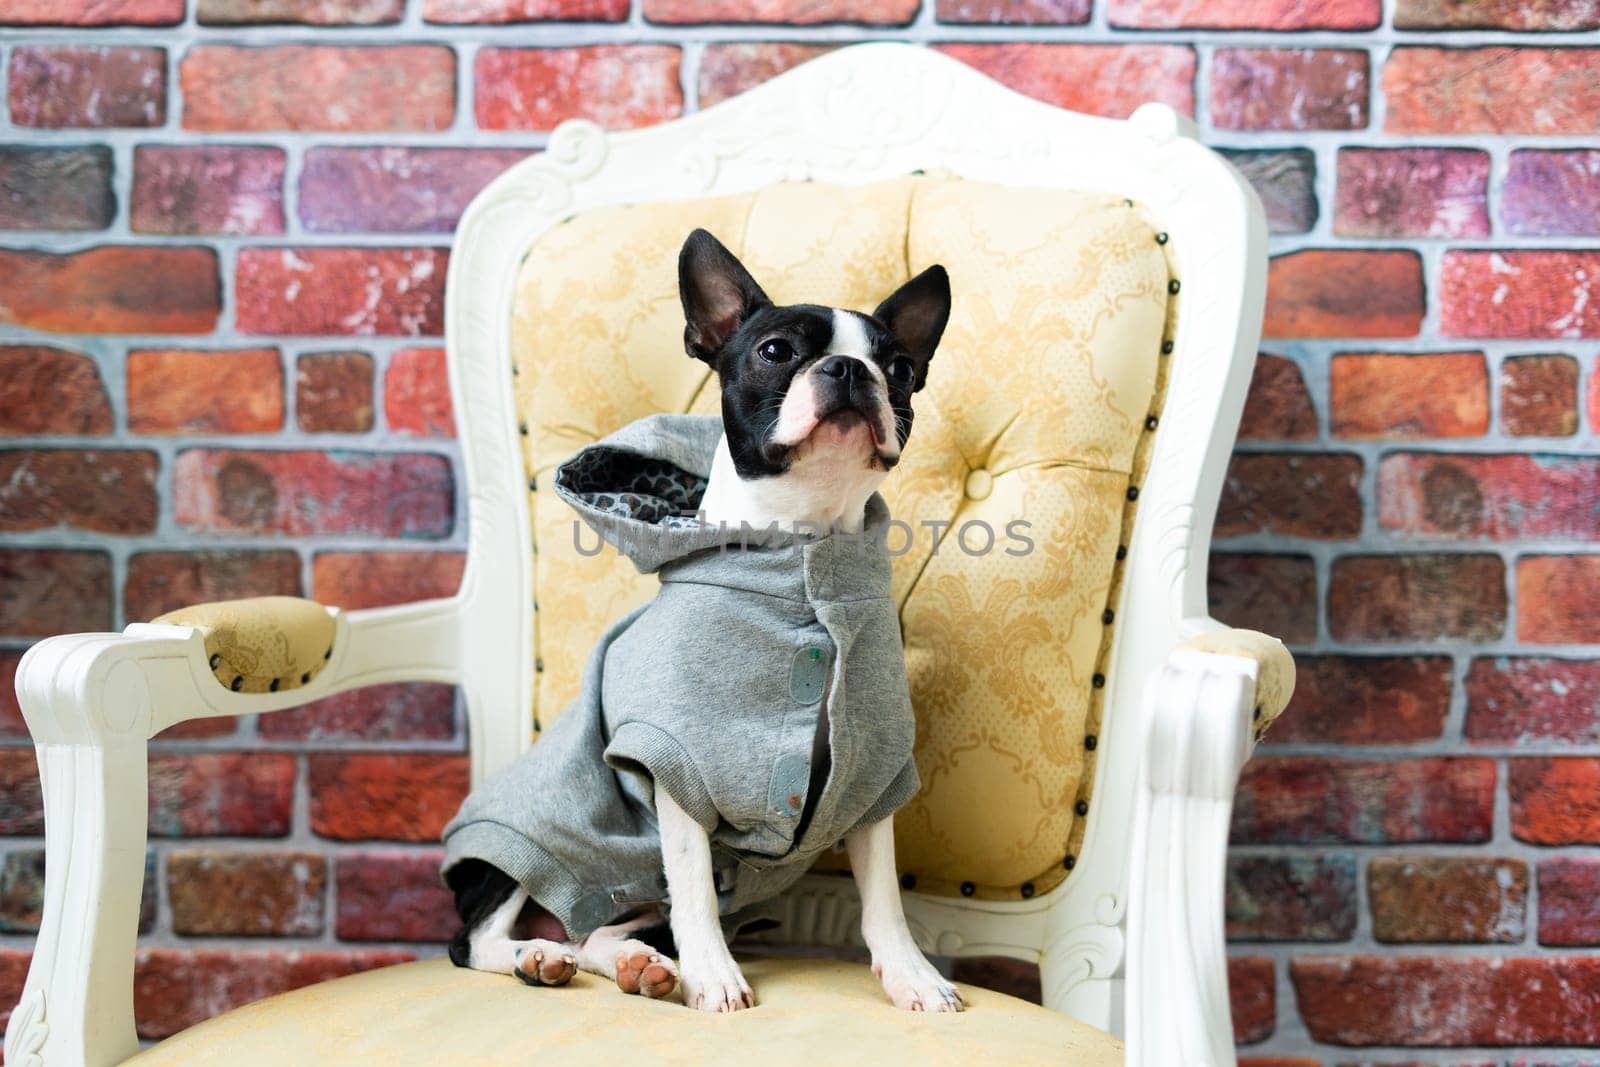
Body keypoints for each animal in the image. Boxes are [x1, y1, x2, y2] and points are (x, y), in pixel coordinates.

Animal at [444, 230, 953, 1017]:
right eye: (775, 351)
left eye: (897, 367)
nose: (847, 367)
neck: (798, 543)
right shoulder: (672, 764)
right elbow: (693, 890)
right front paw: (715, 975)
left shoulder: (867, 765)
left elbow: (884, 895)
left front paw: (912, 975)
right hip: (525, 846)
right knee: (476, 938)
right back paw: (539, 955)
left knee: (600, 929)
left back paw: (635, 963)